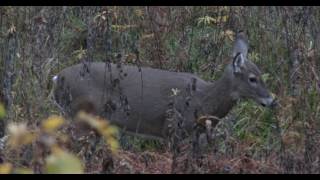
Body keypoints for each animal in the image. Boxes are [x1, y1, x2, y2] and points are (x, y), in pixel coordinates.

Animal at [52, 30, 276, 143]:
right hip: (80, 113)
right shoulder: (173, 129)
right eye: (252, 78)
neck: (204, 100)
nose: (272, 100)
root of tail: (57, 79)